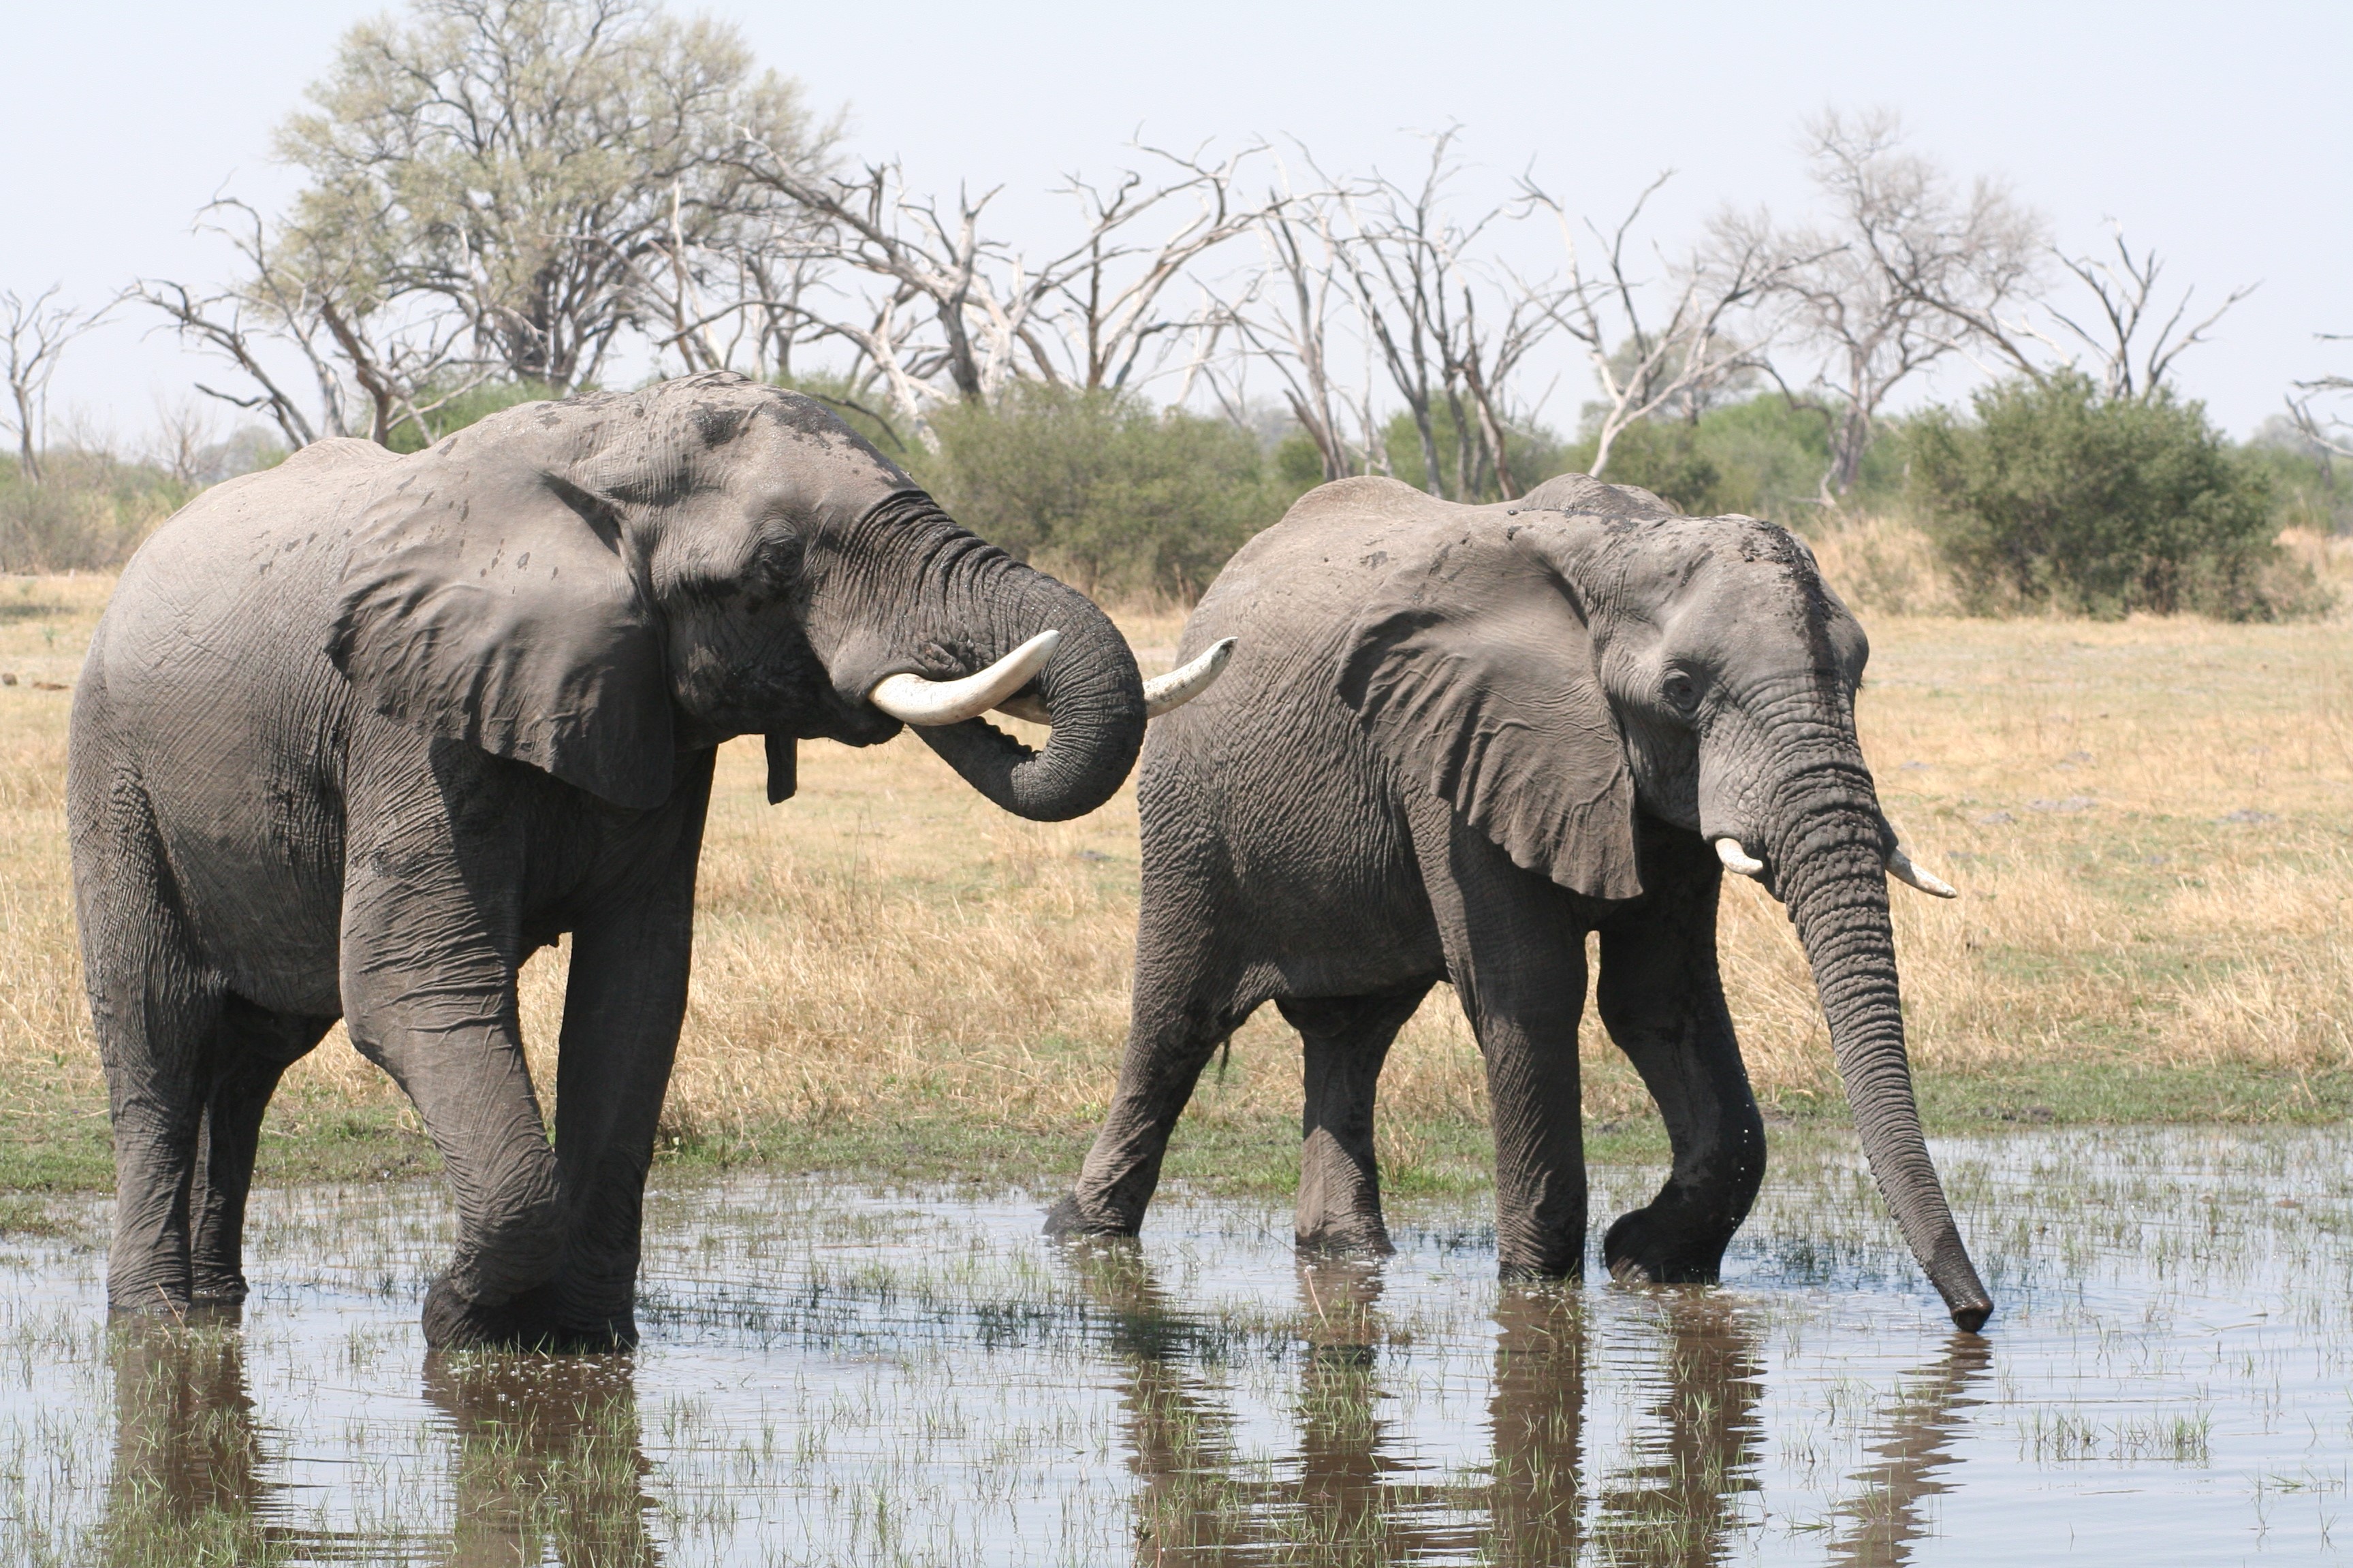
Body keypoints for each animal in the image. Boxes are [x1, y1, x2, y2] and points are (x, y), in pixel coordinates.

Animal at [68, 371, 1227, 1349]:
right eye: (773, 568)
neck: (606, 437)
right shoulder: (407, 719)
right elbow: (414, 983)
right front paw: (463, 1323)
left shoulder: (655, 717)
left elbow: (634, 993)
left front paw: (580, 1339)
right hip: (113, 765)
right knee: (159, 1028)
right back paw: (160, 1321)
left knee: (255, 1053)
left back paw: (220, 1302)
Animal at [1046, 471, 1992, 1332]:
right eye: (1682, 690)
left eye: (1856, 679)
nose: (1975, 1312)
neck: (1621, 552)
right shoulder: (1459, 745)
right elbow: (1529, 991)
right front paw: (1540, 1284)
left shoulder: (1658, 801)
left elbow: (1660, 1000)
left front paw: (1643, 1259)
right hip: (1190, 814)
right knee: (1176, 1016)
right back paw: (1082, 1233)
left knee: (1351, 1033)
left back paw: (1345, 1253)